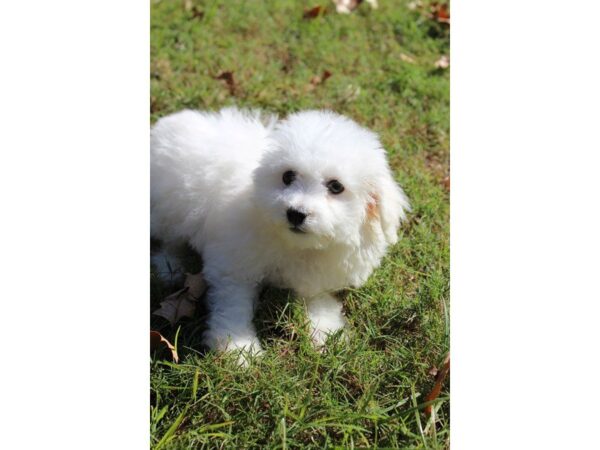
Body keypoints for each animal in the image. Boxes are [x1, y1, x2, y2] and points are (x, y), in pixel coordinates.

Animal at [152, 106, 410, 358]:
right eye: (288, 176)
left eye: (336, 186)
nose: (295, 213)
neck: (296, 245)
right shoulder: (235, 266)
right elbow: (234, 306)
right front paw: (238, 349)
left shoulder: (319, 276)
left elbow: (318, 300)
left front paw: (327, 334)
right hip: (169, 210)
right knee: (170, 242)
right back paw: (170, 267)